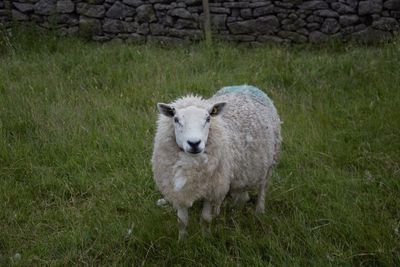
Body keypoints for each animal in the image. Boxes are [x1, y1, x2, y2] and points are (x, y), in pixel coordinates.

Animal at [151, 85, 282, 240]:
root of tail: (245, 86)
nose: (194, 143)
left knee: (263, 188)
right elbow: (182, 222)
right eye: (176, 119)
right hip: (244, 170)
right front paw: (182, 241)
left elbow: (205, 219)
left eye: (208, 118)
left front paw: (206, 238)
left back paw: (259, 210)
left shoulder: (212, 189)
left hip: (269, 162)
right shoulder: (180, 191)